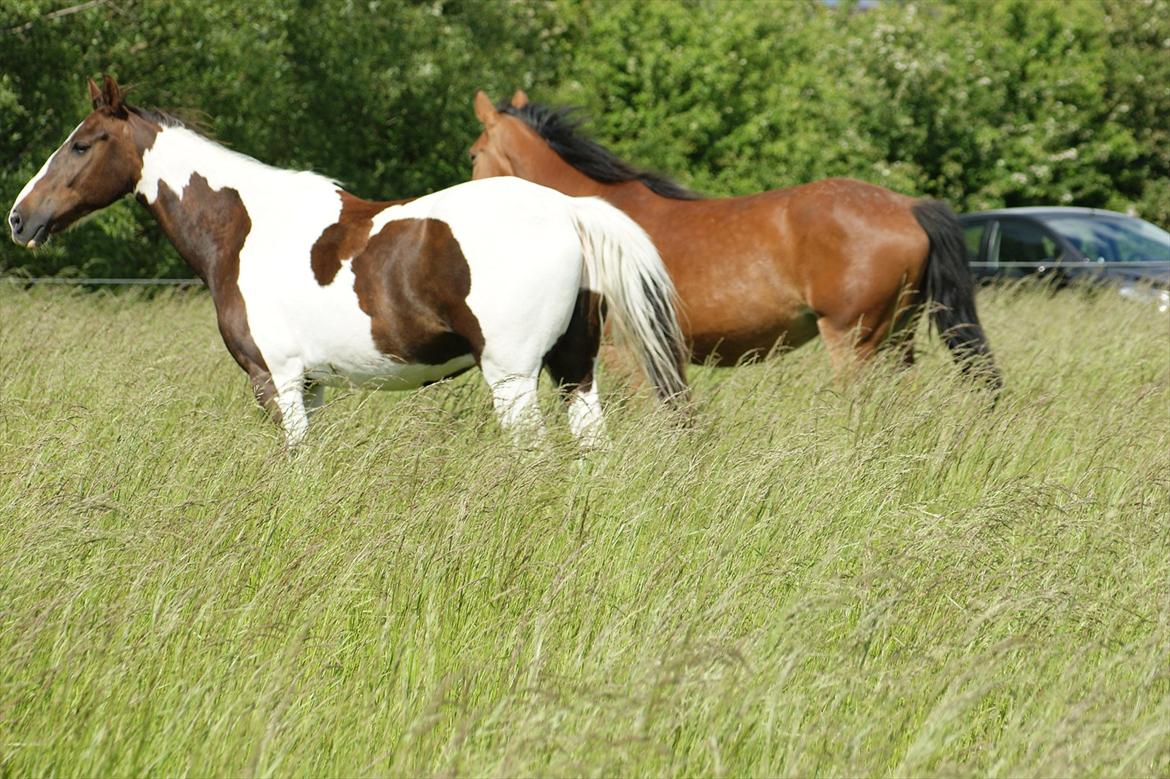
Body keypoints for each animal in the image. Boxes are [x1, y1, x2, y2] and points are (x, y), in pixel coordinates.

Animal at [6, 77, 683, 449]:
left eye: (81, 144)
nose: (19, 217)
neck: (245, 229)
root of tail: (569, 210)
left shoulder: (275, 381)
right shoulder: (312, 386)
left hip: (513, 377)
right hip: (575, 371)